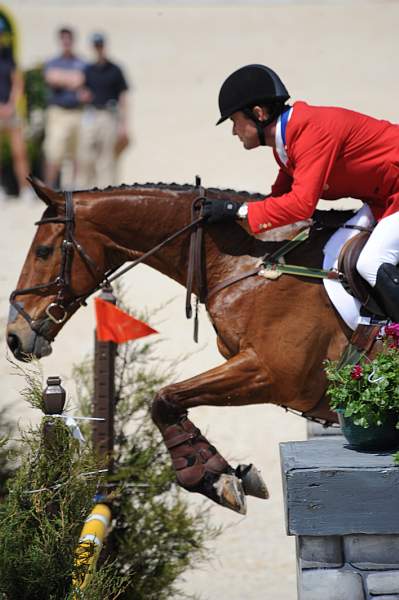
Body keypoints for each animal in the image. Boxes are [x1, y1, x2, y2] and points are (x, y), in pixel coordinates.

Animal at [6, 176, 350, 512]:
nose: (13, 336)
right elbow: (170, 402)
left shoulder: (272, 373)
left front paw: (210, 477)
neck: (247, 258)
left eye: (43, 251)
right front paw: (216, 471)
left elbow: (164, 399)